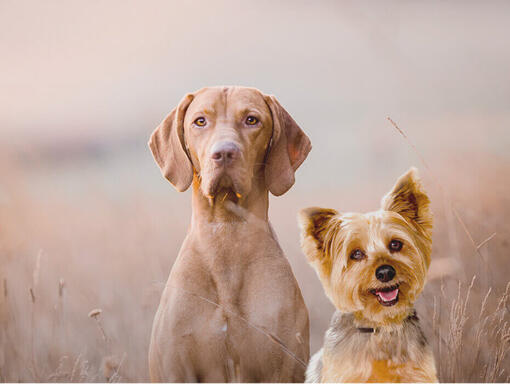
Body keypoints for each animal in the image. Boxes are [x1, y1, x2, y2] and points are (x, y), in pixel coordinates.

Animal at [147, 85, 310, 382]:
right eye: (200, 121)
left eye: (251, 120)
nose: (223, 153)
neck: (225, 233)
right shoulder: (176, 370)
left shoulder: (281, 367)